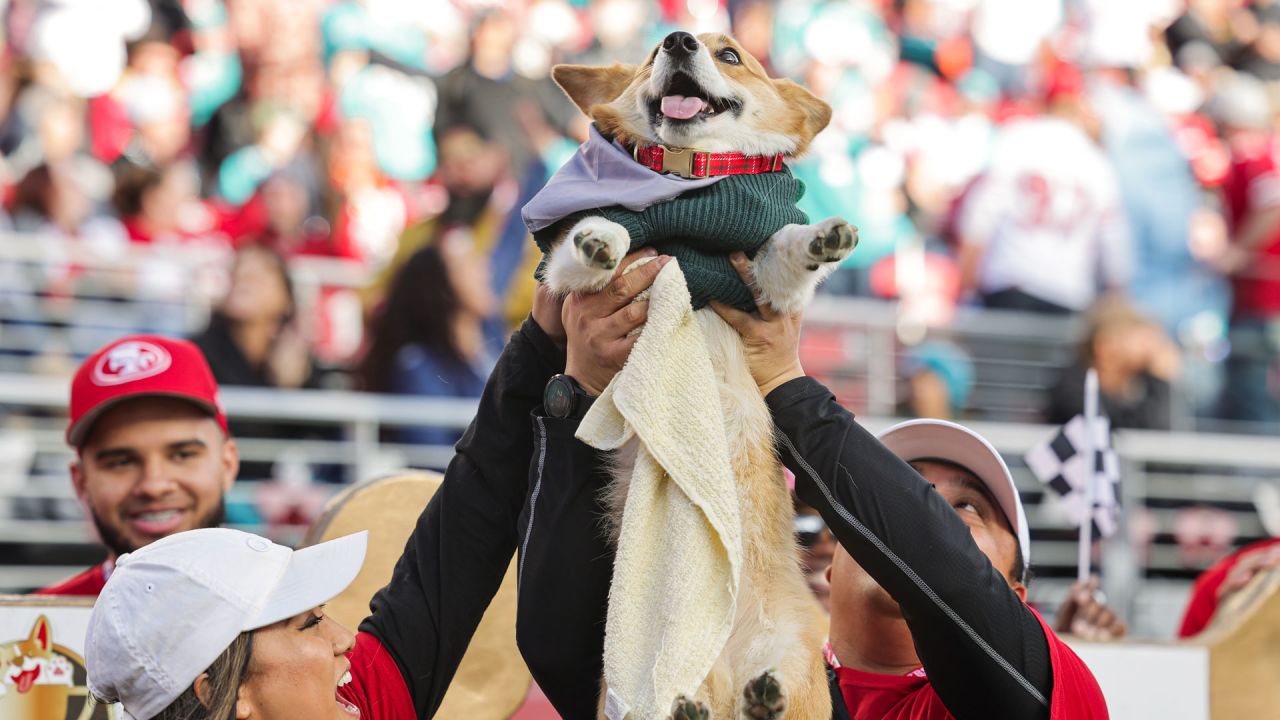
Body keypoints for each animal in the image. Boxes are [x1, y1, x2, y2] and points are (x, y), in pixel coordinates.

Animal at [519, 30, 860, 712]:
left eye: (730, 55)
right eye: (654, 53)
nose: (677, 41)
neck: (690, 185)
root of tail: (723, 671)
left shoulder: (768, 286)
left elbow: (786, 250)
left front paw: (820, 238)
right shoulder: (570, 277)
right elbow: (590, 245)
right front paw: (601, 238)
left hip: (798, 658)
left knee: (777, 690)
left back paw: (762, 698)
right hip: (639, 677)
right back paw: (696, 707)